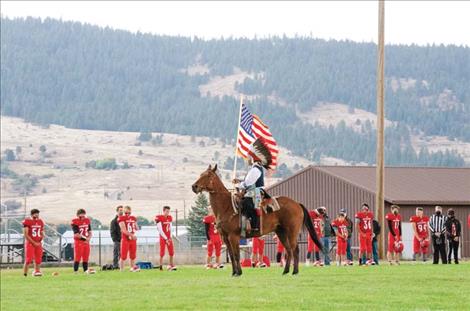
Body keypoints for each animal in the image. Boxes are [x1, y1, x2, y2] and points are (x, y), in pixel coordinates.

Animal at [192, 165, 324, 276]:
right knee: (288, 250)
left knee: (295, 250)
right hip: (281, 232)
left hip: (292, 232)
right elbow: (231, 255)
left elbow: (236, 255)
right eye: (201, 174)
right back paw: (285, 271)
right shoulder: (225, 237)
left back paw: (295, 272)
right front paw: (234, 273)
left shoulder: (233, 236)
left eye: (208, 175)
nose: (194, 187)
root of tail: (297, 204)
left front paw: (239, 273)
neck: (226, 207)